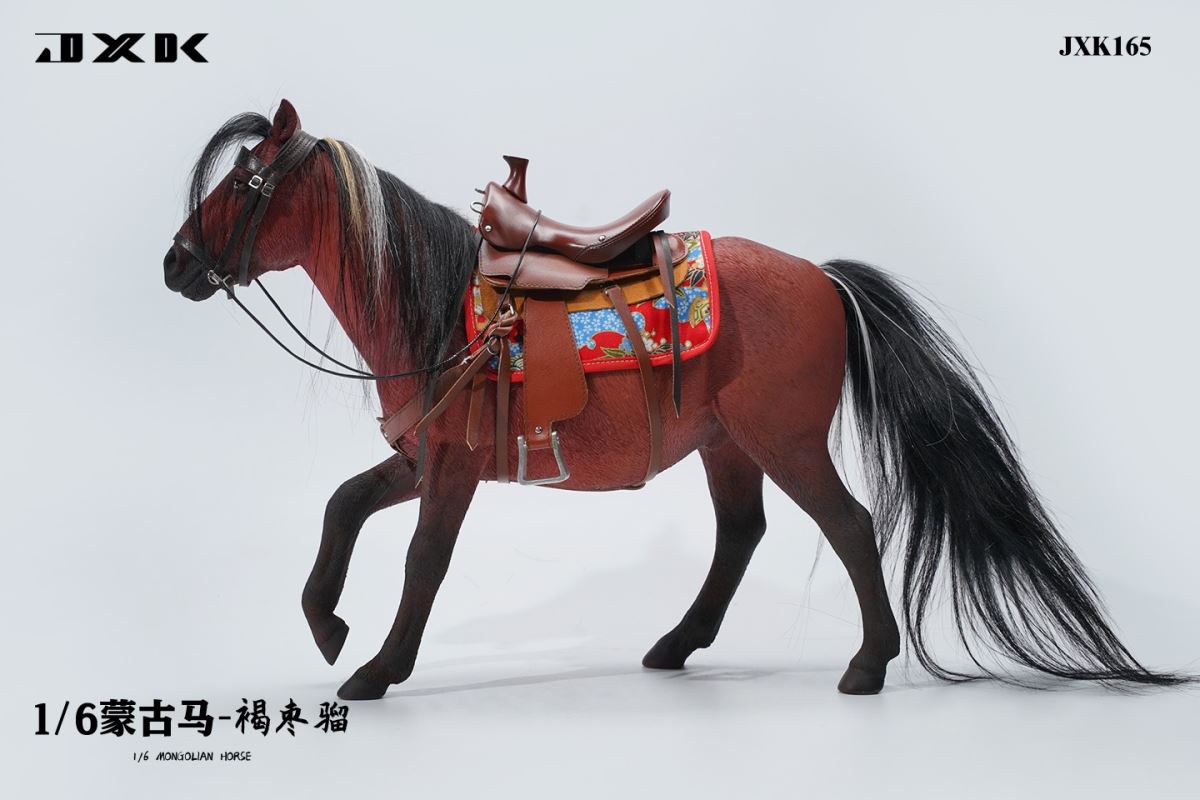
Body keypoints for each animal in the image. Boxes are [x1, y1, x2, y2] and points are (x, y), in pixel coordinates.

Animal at [163, 100, 1187, 701]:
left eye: (247, 183)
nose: (176, 263)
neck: (435, 306)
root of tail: (821, 277)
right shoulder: (421, 457)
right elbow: (342, 506)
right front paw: (326, 625)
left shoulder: (451, 467)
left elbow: (424, 561)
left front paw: (377, 669)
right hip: (727, 443)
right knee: (742, 533)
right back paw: (677, 643)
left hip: (784, 440)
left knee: (850, 525)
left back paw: (865, 666)